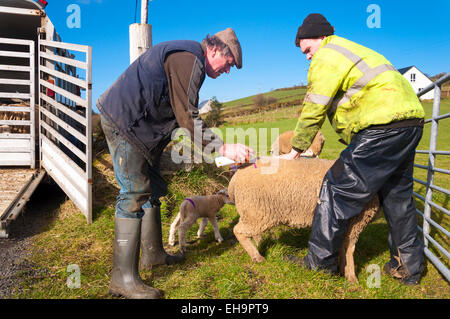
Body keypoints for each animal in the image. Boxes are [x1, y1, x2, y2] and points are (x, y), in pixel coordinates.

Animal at [229, 158, 380, 282]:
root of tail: (236, 177)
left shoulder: (346, 223)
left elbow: (343, 247)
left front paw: (343, 269)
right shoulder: (356, 222)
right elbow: (349, 249)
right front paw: (352, 277)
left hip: (252, 212)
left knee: (251, 231)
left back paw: (259, 244)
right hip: (256, 211)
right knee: (238, 231)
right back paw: (257, 257)